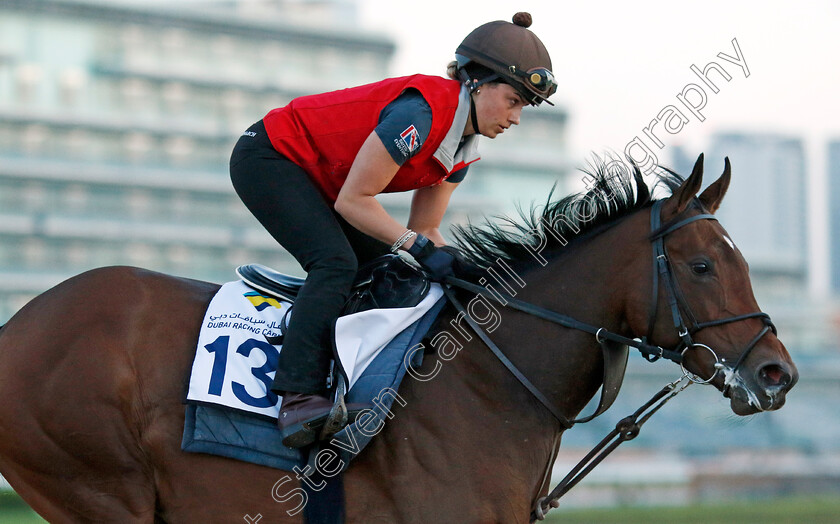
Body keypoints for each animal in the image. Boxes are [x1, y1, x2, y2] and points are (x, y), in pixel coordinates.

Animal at [0, 154, 800, 520]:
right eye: (702, 265)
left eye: (741, 263)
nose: (777, 373)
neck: (487, 385)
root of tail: (18, 325)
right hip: (99, 488)